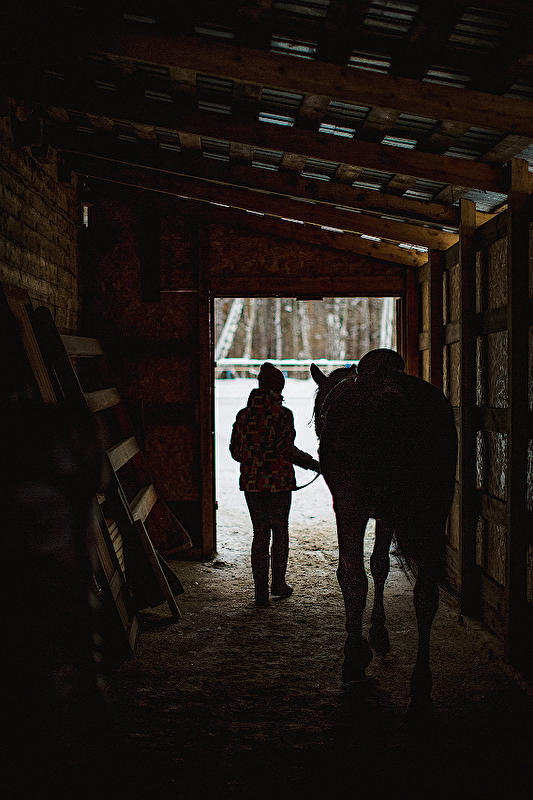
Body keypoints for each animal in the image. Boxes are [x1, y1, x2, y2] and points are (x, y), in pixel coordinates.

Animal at [311, 349, 458, 724]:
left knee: (353, 578)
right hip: (434, 512)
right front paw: (378, 632)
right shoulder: (389, 514)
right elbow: (380, 565)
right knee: (426, 596)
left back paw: (353, 659)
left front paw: (362, 645)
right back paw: (421, 689)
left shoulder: (352, 507)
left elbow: (357, 572)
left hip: (352, 506)